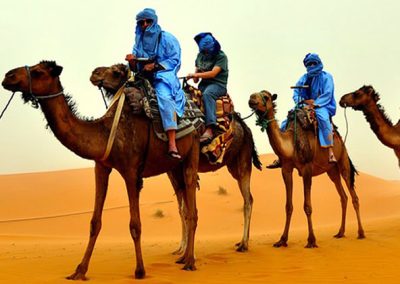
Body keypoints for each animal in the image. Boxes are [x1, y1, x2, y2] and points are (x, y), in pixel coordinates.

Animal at [0, 61, 200, 280]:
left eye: (37, 72)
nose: (8, 76)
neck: (105, 132)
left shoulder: (131, 172)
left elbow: (135, 225)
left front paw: (139, 270)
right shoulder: (101, 167)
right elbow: (94, 223)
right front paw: (79, 270)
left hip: (192, 150)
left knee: (191, 204)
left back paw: (190, 262)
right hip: (175, 166)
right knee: (185, 201)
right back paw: (183, 257)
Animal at [89, 63, 262, 251]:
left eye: (116, 71)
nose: (94, 73)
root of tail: (245, 128)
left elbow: (185, 207)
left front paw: (185, 249)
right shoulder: (172, 169)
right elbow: (182, 209)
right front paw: (181, 248)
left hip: (243, 160)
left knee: (248, 199)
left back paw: (244, 243)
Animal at [247, 90, 366, 247]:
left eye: (265, 97)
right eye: (254, 95)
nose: (251, 99)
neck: (291, 144)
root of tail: (339, 138)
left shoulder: (307, 169)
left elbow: (307, 206)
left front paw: (311, 240)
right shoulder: (286, 169)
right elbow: (288, 206)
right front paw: (282, 240)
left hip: (343, 159)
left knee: (354, 195)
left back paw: (361, 233)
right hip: (331, 170)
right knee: (343, 197)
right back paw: (340, 232)